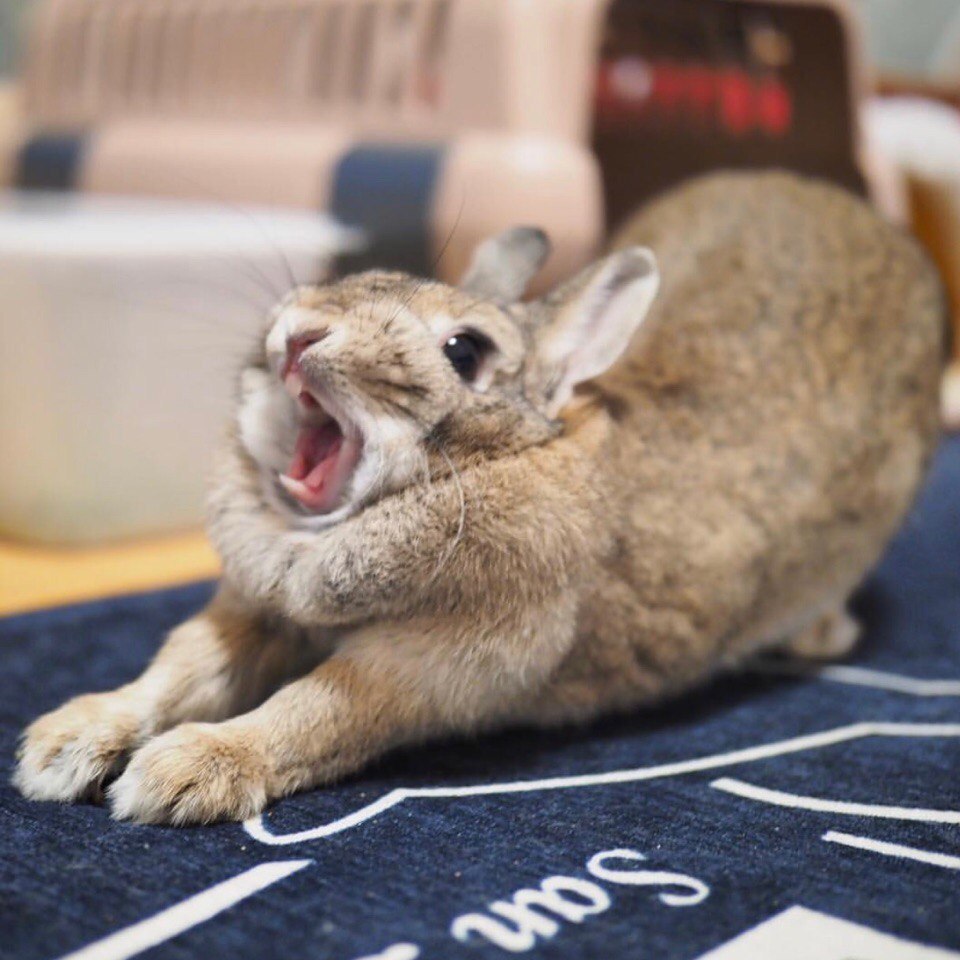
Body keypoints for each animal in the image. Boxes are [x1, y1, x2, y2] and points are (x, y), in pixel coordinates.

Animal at [15, 172, 944, 824]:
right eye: (369, 274)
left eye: (464, 352)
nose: (301, 332)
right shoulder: (250, 612)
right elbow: (181, 666)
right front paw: (61, 744)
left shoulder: (434, 662)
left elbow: (313, 710)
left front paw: (180, 774)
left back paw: (821, 635)